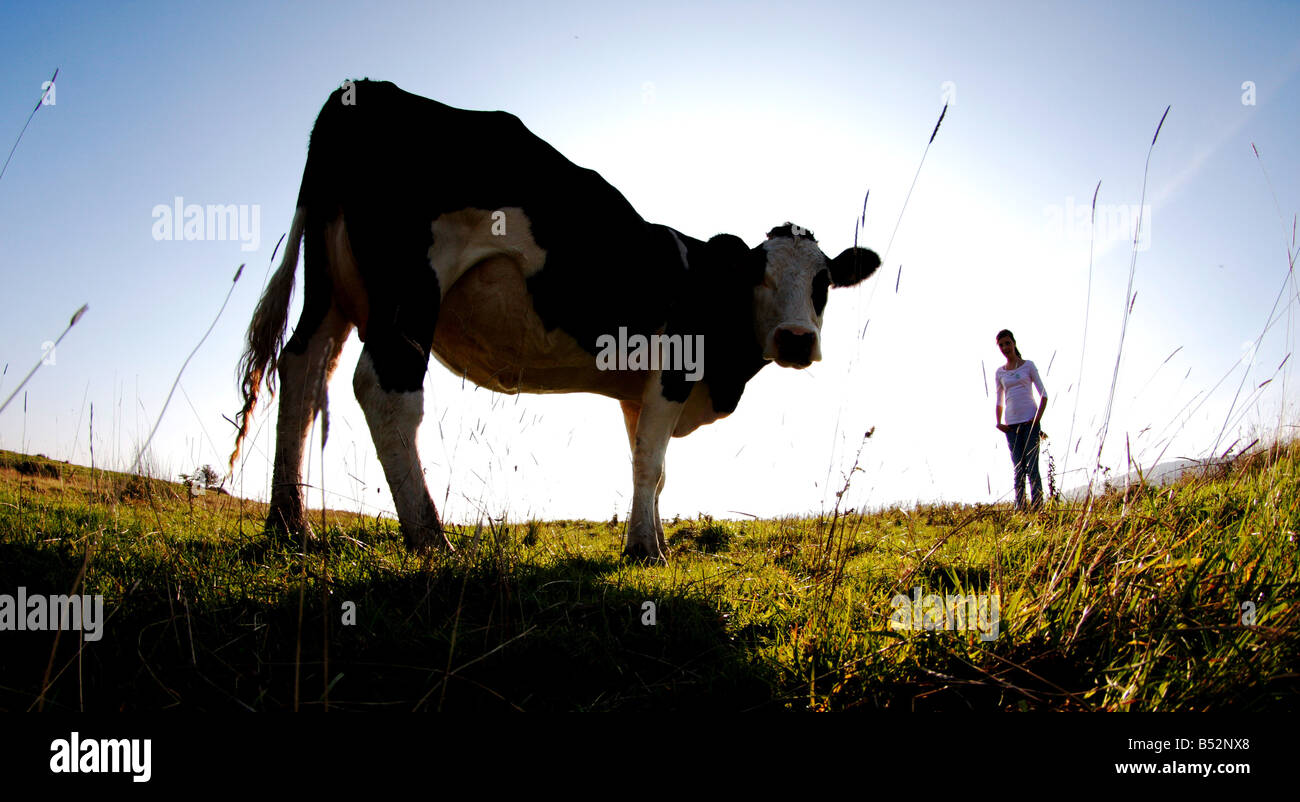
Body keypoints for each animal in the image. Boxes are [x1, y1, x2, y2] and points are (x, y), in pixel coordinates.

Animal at [229, 80, 880, 562]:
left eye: (824, 283)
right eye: (757, 277)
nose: (795, 340)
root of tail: (366, 88)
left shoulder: (636, 390)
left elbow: (653, 467)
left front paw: (655, 540)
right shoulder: (673, 370)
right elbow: (649, 463)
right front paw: (645, 551)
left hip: (331, 286)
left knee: (302, 367)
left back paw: (290, 526)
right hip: (407, 288)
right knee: (384, 389)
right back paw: (430, 539)